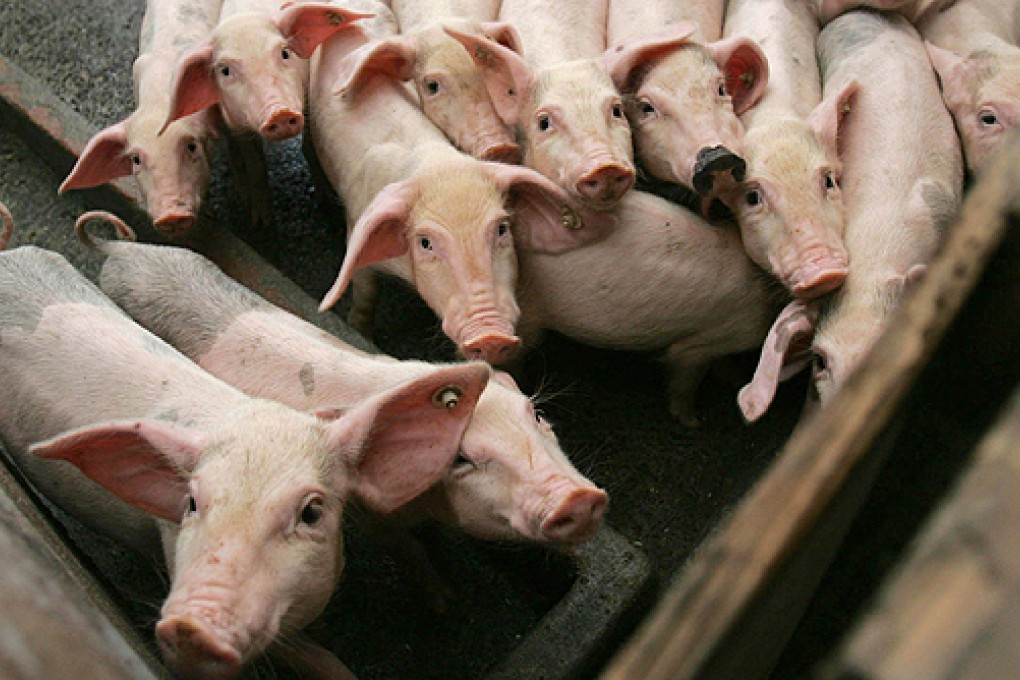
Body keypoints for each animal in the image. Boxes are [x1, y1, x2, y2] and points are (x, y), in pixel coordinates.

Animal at [77, 216, 606, 608]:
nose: (577, 499)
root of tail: (116, 250)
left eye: (536, 416)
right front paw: (444, 601)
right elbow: (410, 550)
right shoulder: (373, 518)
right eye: (461, 459)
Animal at [161, 0, 371, 227]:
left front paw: (327, 201)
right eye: (225, 71)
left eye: (285, 52)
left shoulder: (306, 94)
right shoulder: (238, 126)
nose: (279, 113)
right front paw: (261, 222)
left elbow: (310, 146)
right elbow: (256, 165)